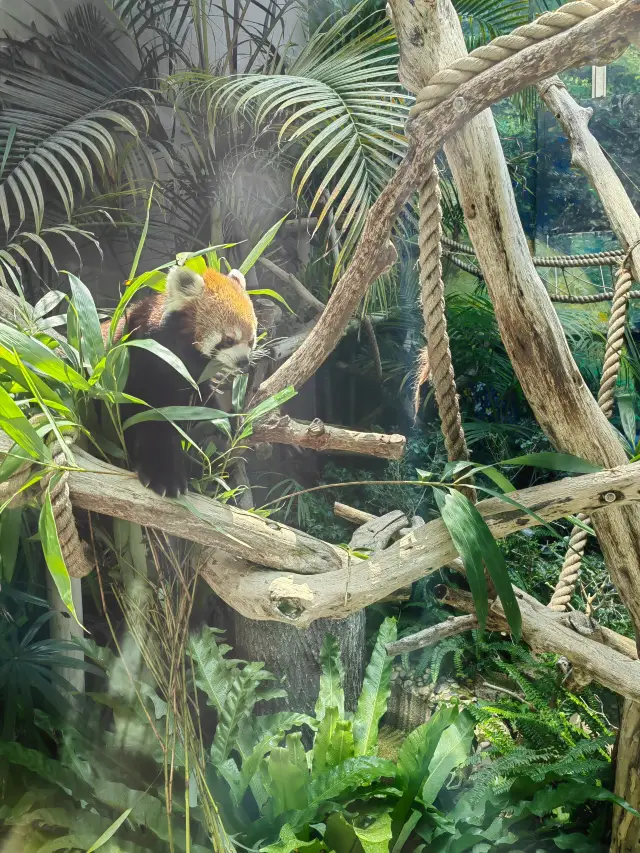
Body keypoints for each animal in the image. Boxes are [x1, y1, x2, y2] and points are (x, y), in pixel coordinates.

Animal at [102, 262, 258, 496]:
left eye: (251, 341)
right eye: (229, 339)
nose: (243, 362)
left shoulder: (194, 381)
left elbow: (205, 407)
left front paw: (223, 426)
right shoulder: (145, 359)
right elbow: (151, 419)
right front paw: (165, 475)